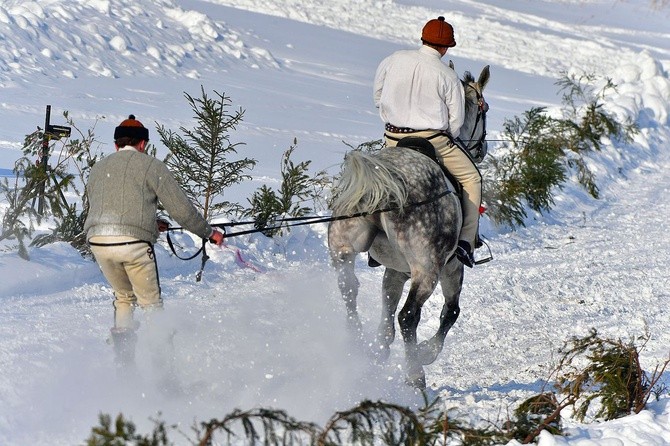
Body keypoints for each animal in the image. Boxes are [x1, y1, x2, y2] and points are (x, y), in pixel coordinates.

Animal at [328, 64, 490, 388]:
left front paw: (379, 350)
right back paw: (415, 372)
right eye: (485, 109)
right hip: (428, 270)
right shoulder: (452, 266)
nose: (483, 148)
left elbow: (387, 309)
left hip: (343, 248)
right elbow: (451, 312)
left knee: (349, 288)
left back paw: (357, 344)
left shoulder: (396, 270)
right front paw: (426, 352)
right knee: (409, 315)